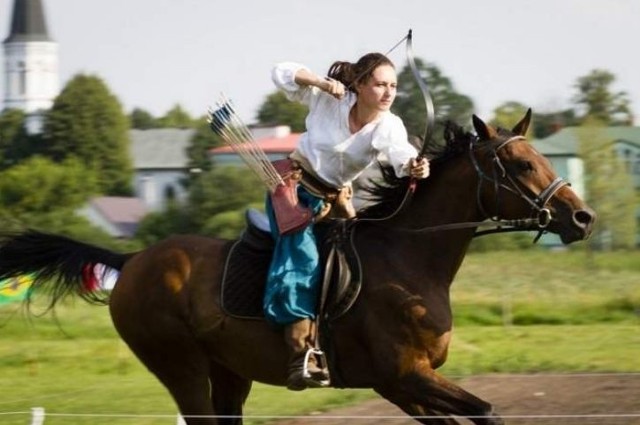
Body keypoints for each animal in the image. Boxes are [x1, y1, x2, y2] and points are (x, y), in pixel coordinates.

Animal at [1, 111, 596, 422]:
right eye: (521, 164)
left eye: (541, 158)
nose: (582, 216)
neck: (408, 258)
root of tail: (132, 261)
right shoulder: (407, 375)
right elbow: (487, 410)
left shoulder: (401, 385)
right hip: (180, 366)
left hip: (228, 371)